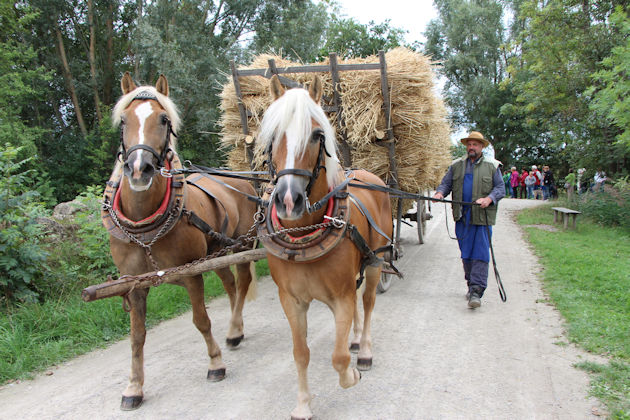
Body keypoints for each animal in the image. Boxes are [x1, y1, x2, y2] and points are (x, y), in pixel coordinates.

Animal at [107, 73, 258, 410]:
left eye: (163, 119)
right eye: (123, 120)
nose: (139, 169)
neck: (145, 229)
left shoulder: (190, 274)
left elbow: (201, 319)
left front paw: (215, 364)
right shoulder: (134, 284)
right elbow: (136, 336)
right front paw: (134, 387)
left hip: (241, 244)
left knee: (242, 282)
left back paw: (233, 330)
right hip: (218, 251)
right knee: (231, 284)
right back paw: (237, 328)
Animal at [260, 76, 392, 420]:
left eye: (317, 135)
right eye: (273, 134)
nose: (288, 200)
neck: (305, 234)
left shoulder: (340, 297)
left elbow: (338, 357)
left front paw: (351, 374)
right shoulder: (291, 301)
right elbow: (300, 353)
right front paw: (303, 404)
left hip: (376, 262)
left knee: (368, 303)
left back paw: (365, 351)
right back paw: (356, 340)